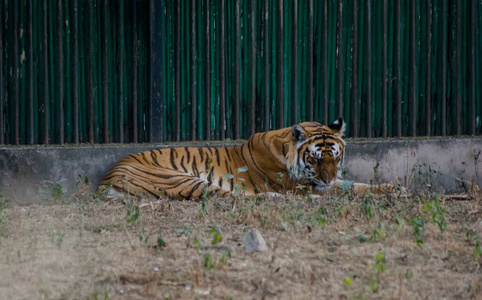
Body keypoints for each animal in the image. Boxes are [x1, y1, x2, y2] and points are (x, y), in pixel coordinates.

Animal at [98, 118, 396, 200]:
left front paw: (394, 188)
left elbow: (356, 184)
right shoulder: (302, 185)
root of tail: (107, 176)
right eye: (314, 160)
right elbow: (349, 189)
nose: (327, 178)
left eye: (335, 158)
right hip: (181, 180)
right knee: (230, 197)